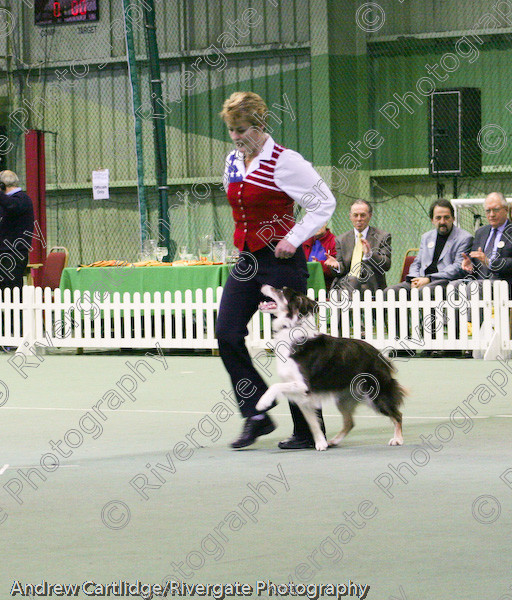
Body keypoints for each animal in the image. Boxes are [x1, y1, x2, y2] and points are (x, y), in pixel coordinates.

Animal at [256, 286, 404, 450]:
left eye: (281, 291)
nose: (263, 285)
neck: (291, 328)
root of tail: (380, 355)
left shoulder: (304, 385)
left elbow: (275, 386)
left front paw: (262, 402)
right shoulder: (303, 395)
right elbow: (313, 424)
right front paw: (321, 443)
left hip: (375, 393)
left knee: (397, 415)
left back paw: (397, 439)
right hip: (343, 398)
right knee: (350, 422)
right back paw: (333, 441)